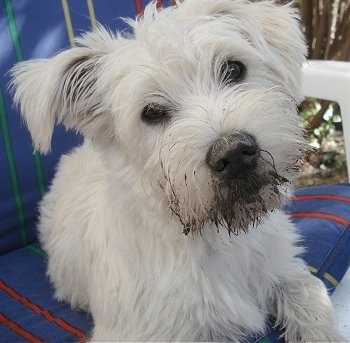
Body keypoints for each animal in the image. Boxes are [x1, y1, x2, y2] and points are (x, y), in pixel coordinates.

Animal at [10, 0, 342, 342]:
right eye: (152, 112)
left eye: (233, 69)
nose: (235, 153)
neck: (214, 236)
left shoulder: (286, 270)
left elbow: (310, 294)